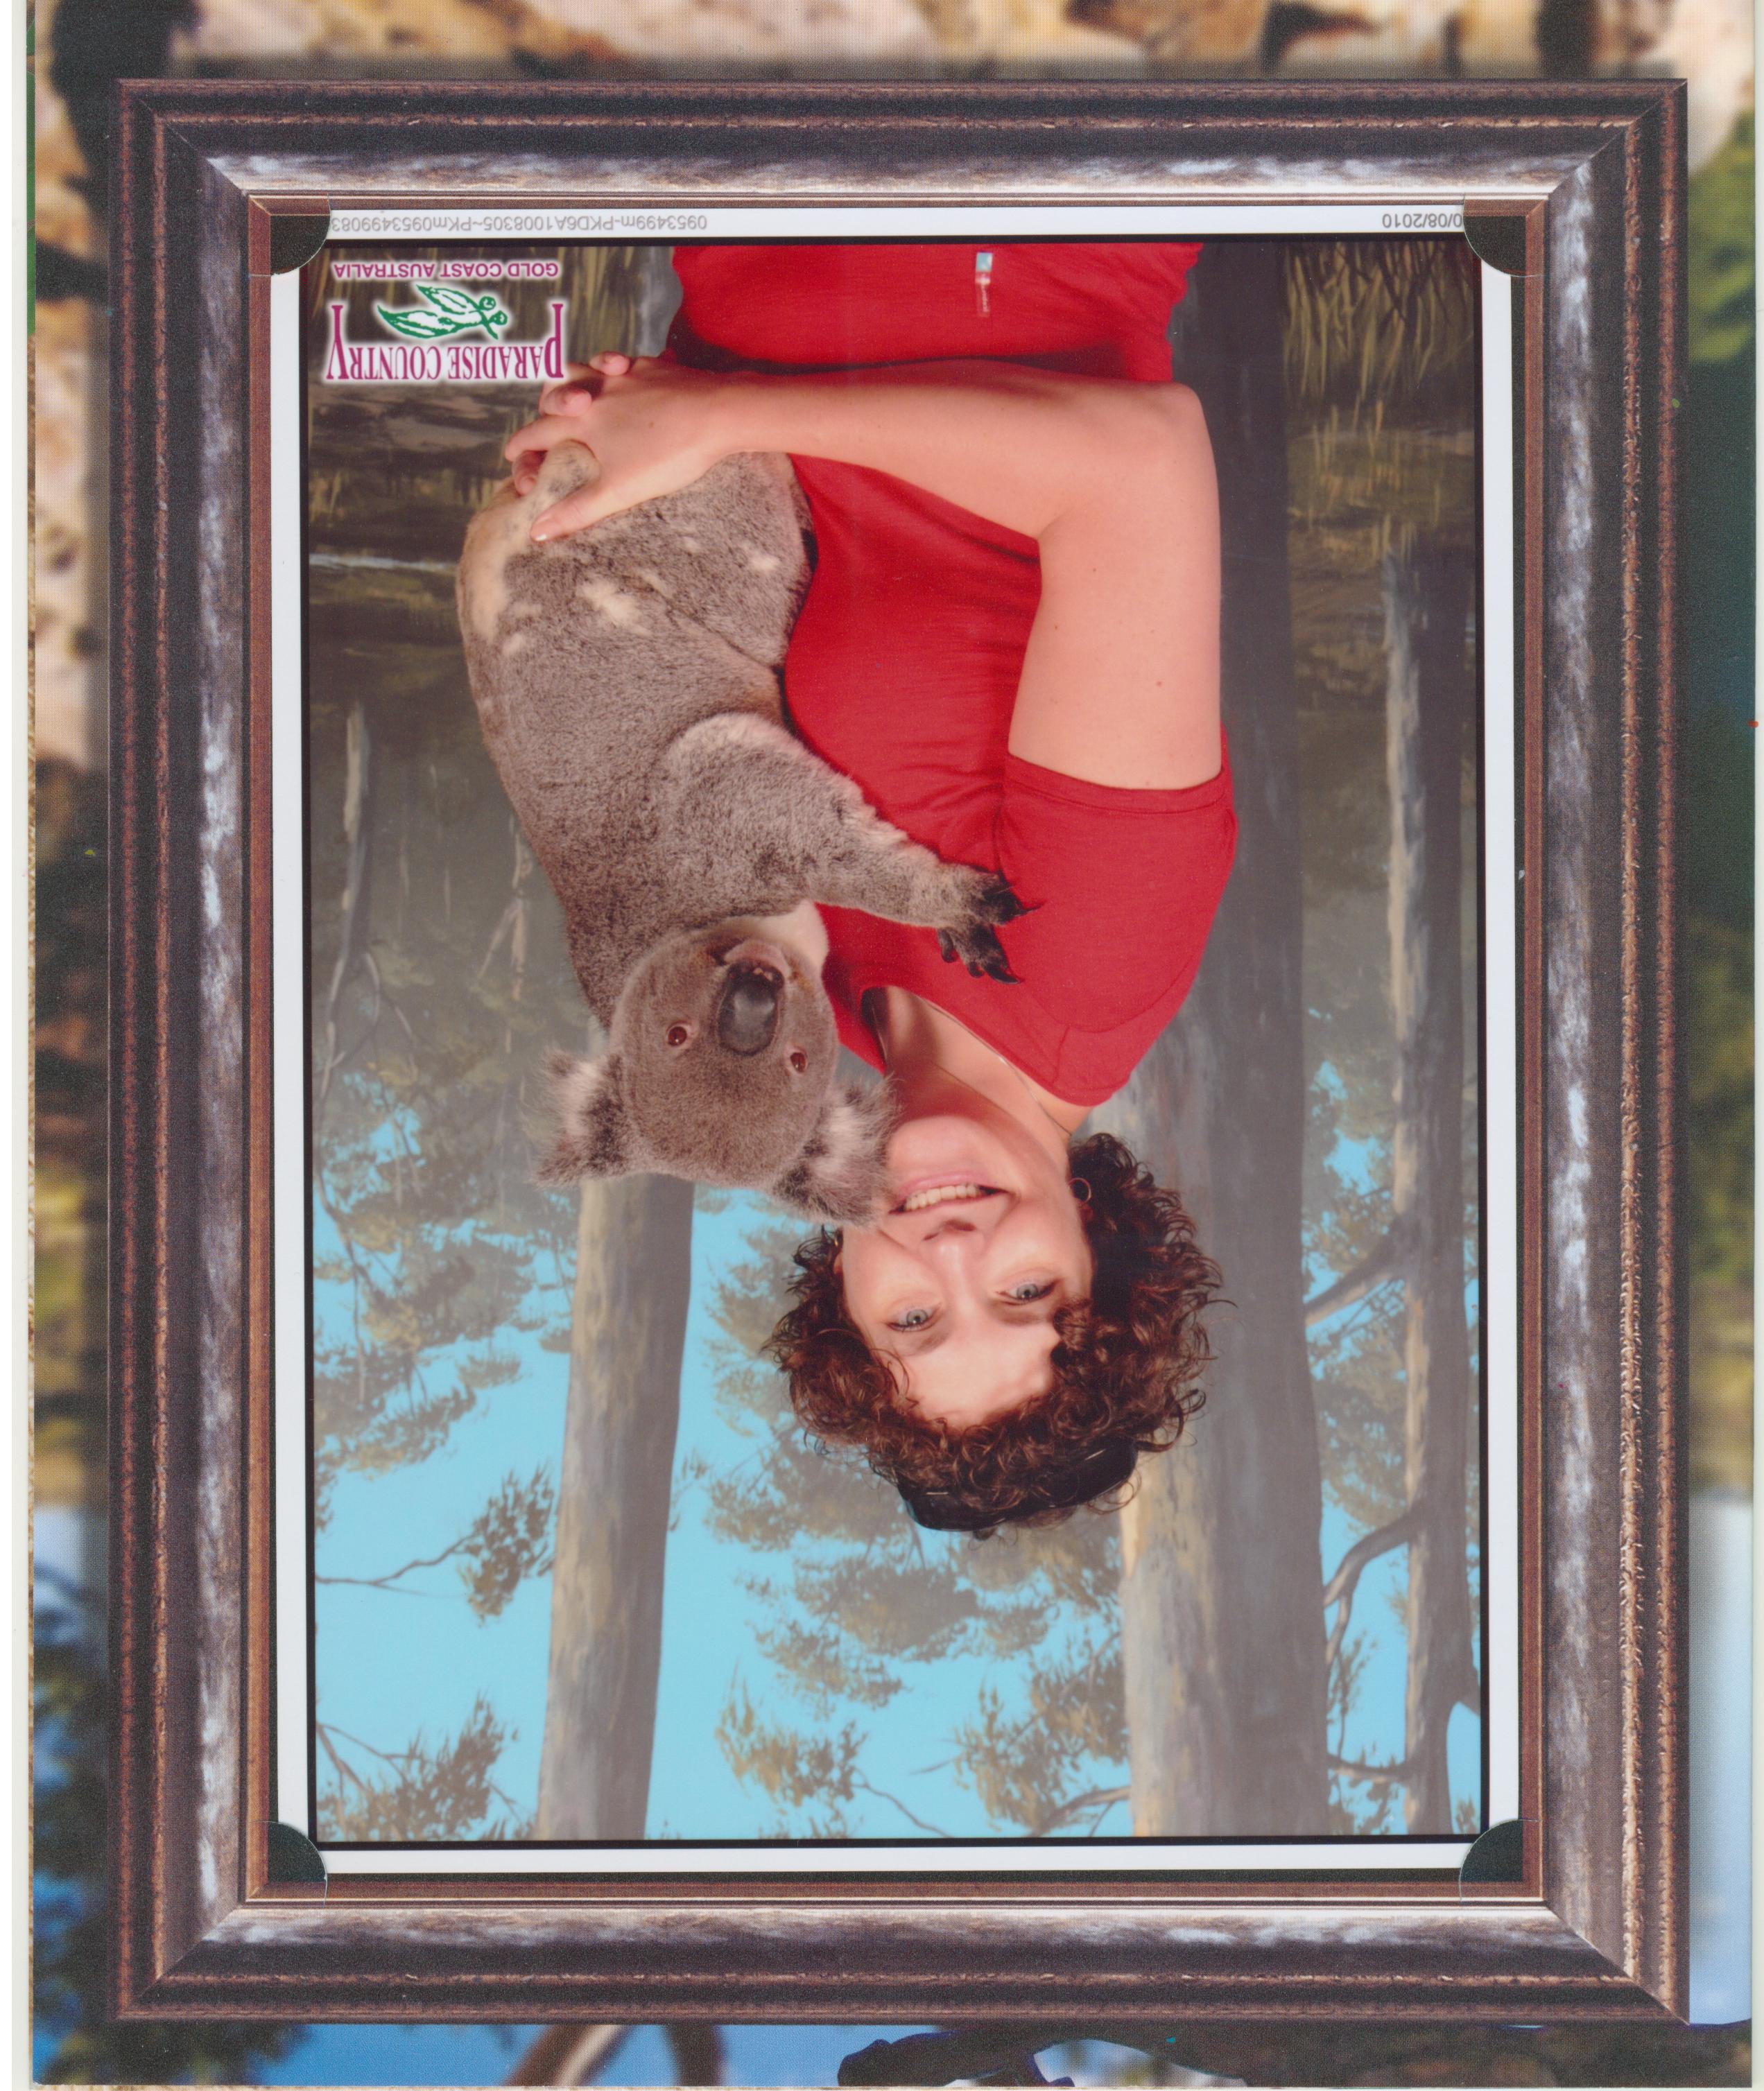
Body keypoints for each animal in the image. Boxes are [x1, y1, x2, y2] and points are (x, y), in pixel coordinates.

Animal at [456, 439, 1023, 1223]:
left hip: (671, 534)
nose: (755, 998)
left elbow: (801, 818)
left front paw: (961, 910)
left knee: (769, 587)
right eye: (676, 1037)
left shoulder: (708, 817)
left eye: (795, 1059)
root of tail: (508, 509)